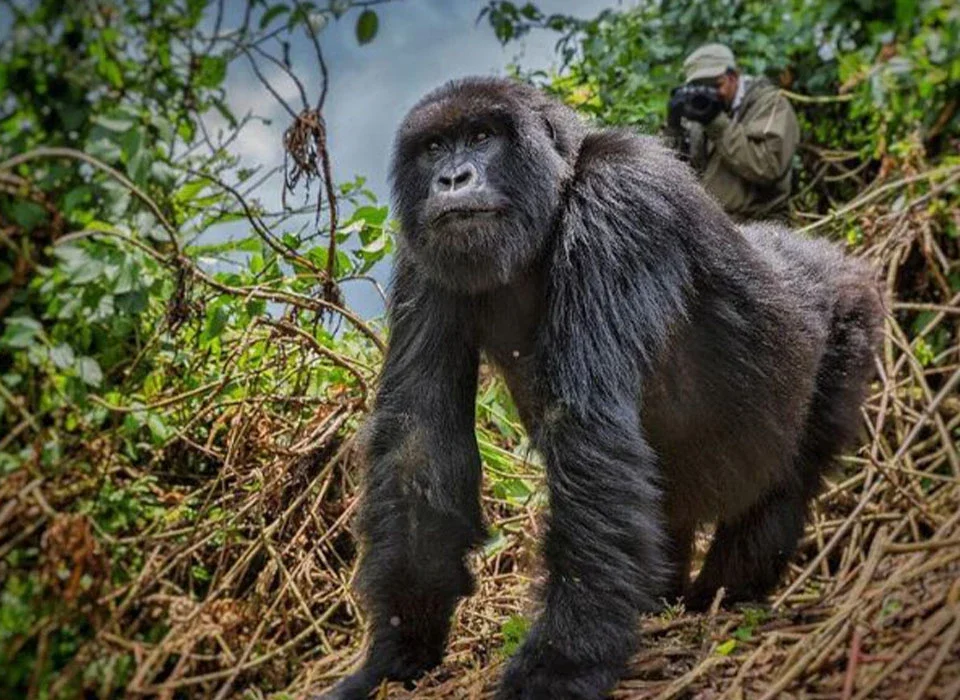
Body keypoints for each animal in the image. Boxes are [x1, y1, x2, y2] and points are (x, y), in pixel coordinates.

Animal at [319, 77, 883, 699]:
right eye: (435, 147)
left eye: (482, 136)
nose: (452, 179)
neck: (556, 194)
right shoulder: (425, 249)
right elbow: (417, 439)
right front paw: (398, 646)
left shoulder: (622, 197)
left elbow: (586, 426)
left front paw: (561, 664)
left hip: (849, 319)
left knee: (784, 485)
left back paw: (724, 594)